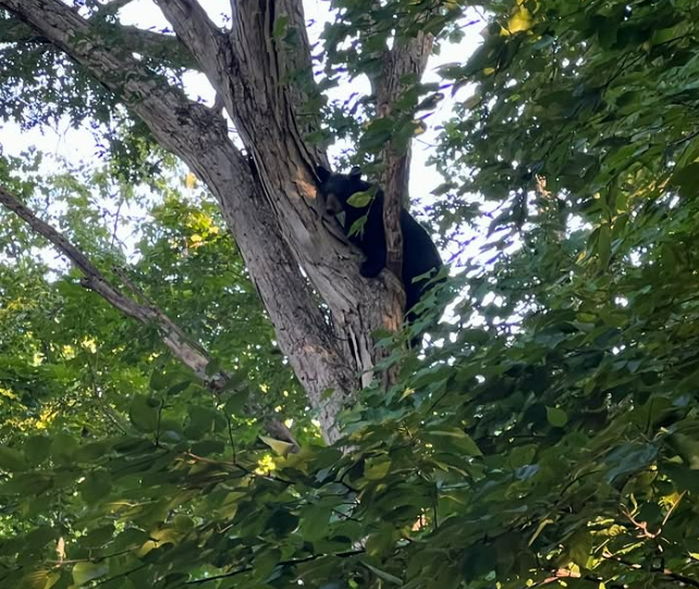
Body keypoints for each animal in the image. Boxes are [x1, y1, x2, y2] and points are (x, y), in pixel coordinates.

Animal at [318, 165, 442, 340]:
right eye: (326, 191)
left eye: (341, 192)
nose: (329, 209)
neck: (358, 206)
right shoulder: (355, 219)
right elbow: (353, 234)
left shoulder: (376, 214)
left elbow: (375, 242)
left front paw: (368, 268)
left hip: (424, 280)